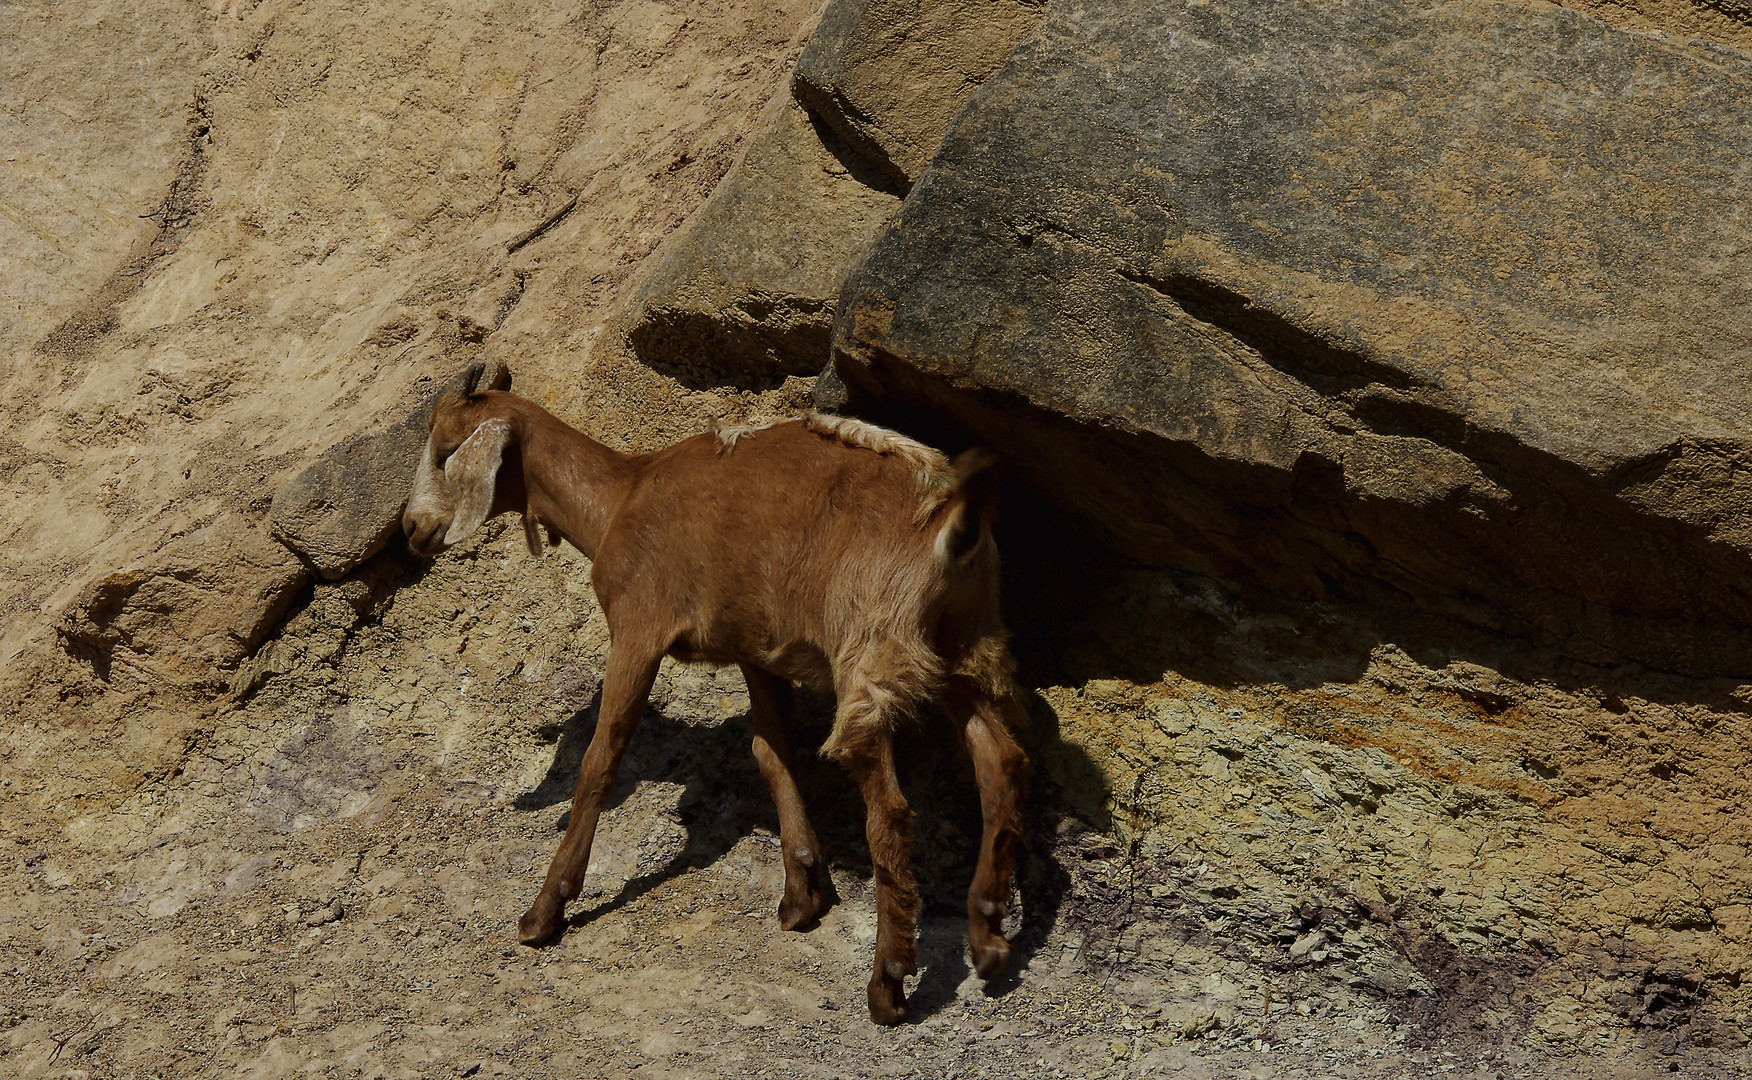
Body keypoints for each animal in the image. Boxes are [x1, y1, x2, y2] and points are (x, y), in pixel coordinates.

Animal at [401, 369, 1023, 1023]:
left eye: (447, 449)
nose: (412, 529)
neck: (621, 497)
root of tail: (953, 519)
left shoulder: (639, 629)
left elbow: (602, 760)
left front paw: (545, 911)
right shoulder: (755, 647)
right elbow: (771, 754)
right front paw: (803, 892)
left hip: (873, 643)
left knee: (890, 809)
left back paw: (888, 981)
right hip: (962, 643)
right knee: (998, 758)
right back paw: (987, 939)